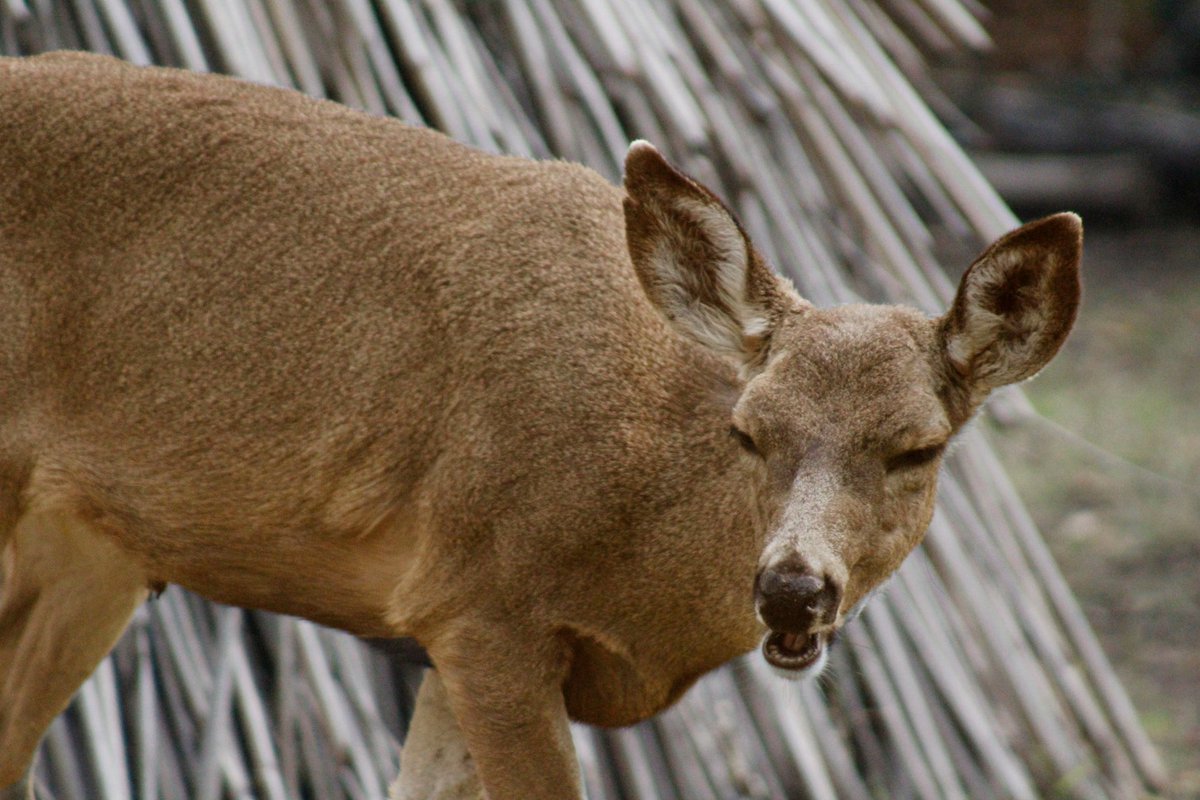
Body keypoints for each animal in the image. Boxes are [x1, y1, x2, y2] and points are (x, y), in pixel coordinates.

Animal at [0, 51, 1081, 800]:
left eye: (918, 448)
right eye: (749, 430)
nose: (790, 587)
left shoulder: (453, 636)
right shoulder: (482, 599)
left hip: (93, 552)